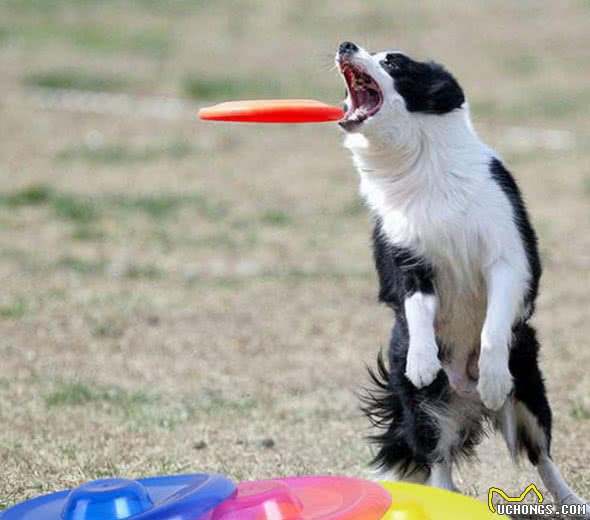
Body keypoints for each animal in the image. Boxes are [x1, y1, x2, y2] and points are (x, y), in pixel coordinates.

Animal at [336, 41, 588, 512]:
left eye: (393, 61)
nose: (346, 45)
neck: (419, 160)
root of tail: (465, 400)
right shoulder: (410, 263)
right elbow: (417, 310)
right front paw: (422, 361)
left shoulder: (507, 258)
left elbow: (492, 326)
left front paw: (491, 377)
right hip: (427, 411)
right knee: (438, 459)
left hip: (529, 388)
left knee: (541, 455)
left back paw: (571, 498)